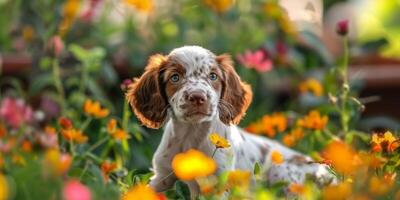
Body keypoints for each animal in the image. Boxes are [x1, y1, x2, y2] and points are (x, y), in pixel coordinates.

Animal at [126, 45, 334, 197]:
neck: (192, 134)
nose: (198, 97)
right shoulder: (162, 176)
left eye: (213, 76)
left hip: (282, 171)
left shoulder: (219, 183)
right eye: (175, 77)